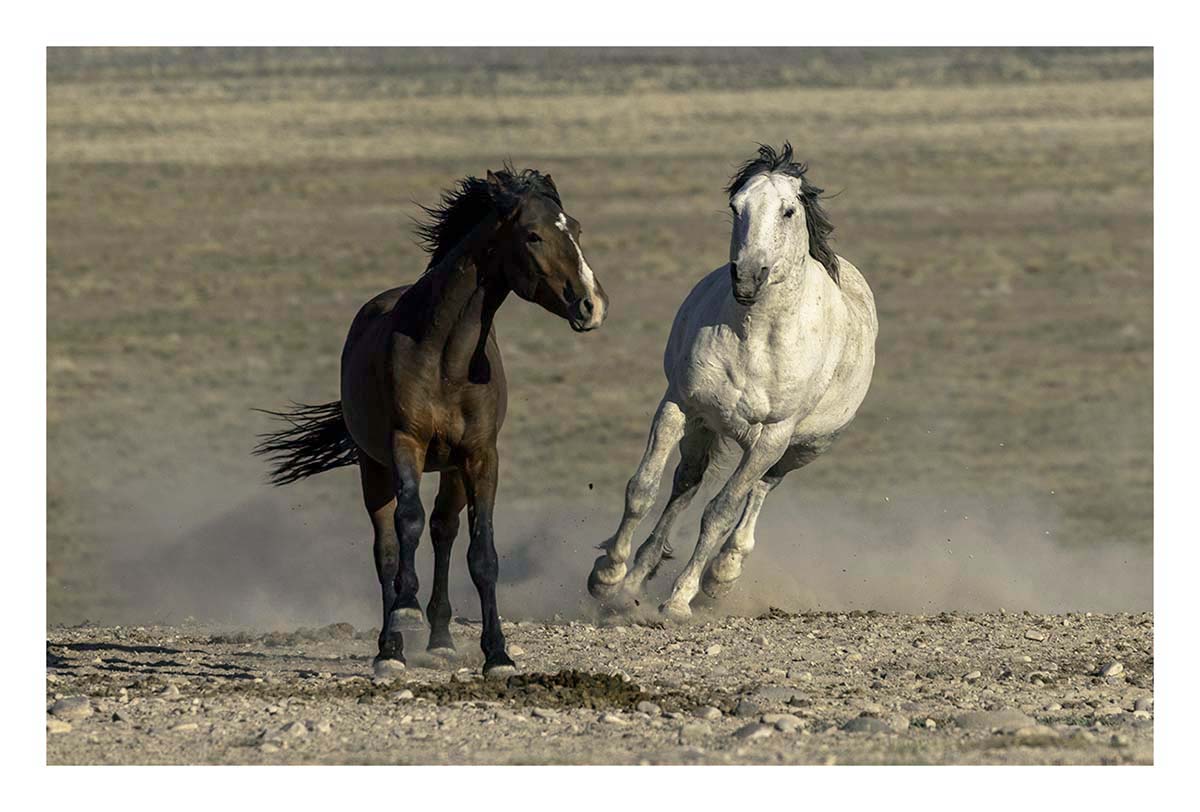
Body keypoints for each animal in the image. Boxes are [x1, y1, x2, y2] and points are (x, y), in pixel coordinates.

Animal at [255, 165, 608, 678]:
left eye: (576, 229)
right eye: (533, 235)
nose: (591, 305)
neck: (448, 358)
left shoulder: (480, 456)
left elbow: (482, 552)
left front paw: (497, 655)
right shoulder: (407, 444)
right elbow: (408, 523)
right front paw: (405, 614)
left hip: (452, 470)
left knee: (444, 531)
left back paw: (440, 640)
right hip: (374, 467)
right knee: (387, 545)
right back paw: (391, 646)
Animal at [587, 142, 877, 621]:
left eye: (788, 211)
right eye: (736, 206)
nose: (747, 276)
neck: (754, 338)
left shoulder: (773, 437)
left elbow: (720, 512)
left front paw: (679, 599)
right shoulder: (679, 405)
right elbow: (643, 488)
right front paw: (608, 578)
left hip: (798, 450)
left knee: (758, 491)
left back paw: (721, 575)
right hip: (705, 428)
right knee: (685, 485)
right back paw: (636, 579)